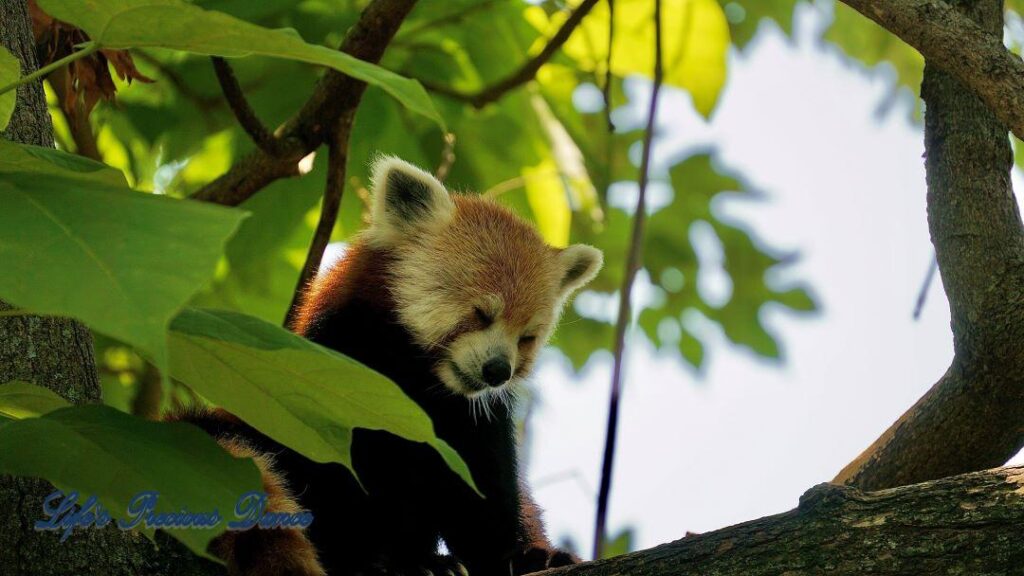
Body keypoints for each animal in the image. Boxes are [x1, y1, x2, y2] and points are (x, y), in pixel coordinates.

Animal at [181, 154, 602, 569]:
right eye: (482, 314)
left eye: (526, 338)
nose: (498, 371)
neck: (420, 381)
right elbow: (338, 470)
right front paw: (373, 559)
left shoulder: (475, 419)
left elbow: (482, 487)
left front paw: (510, 555)